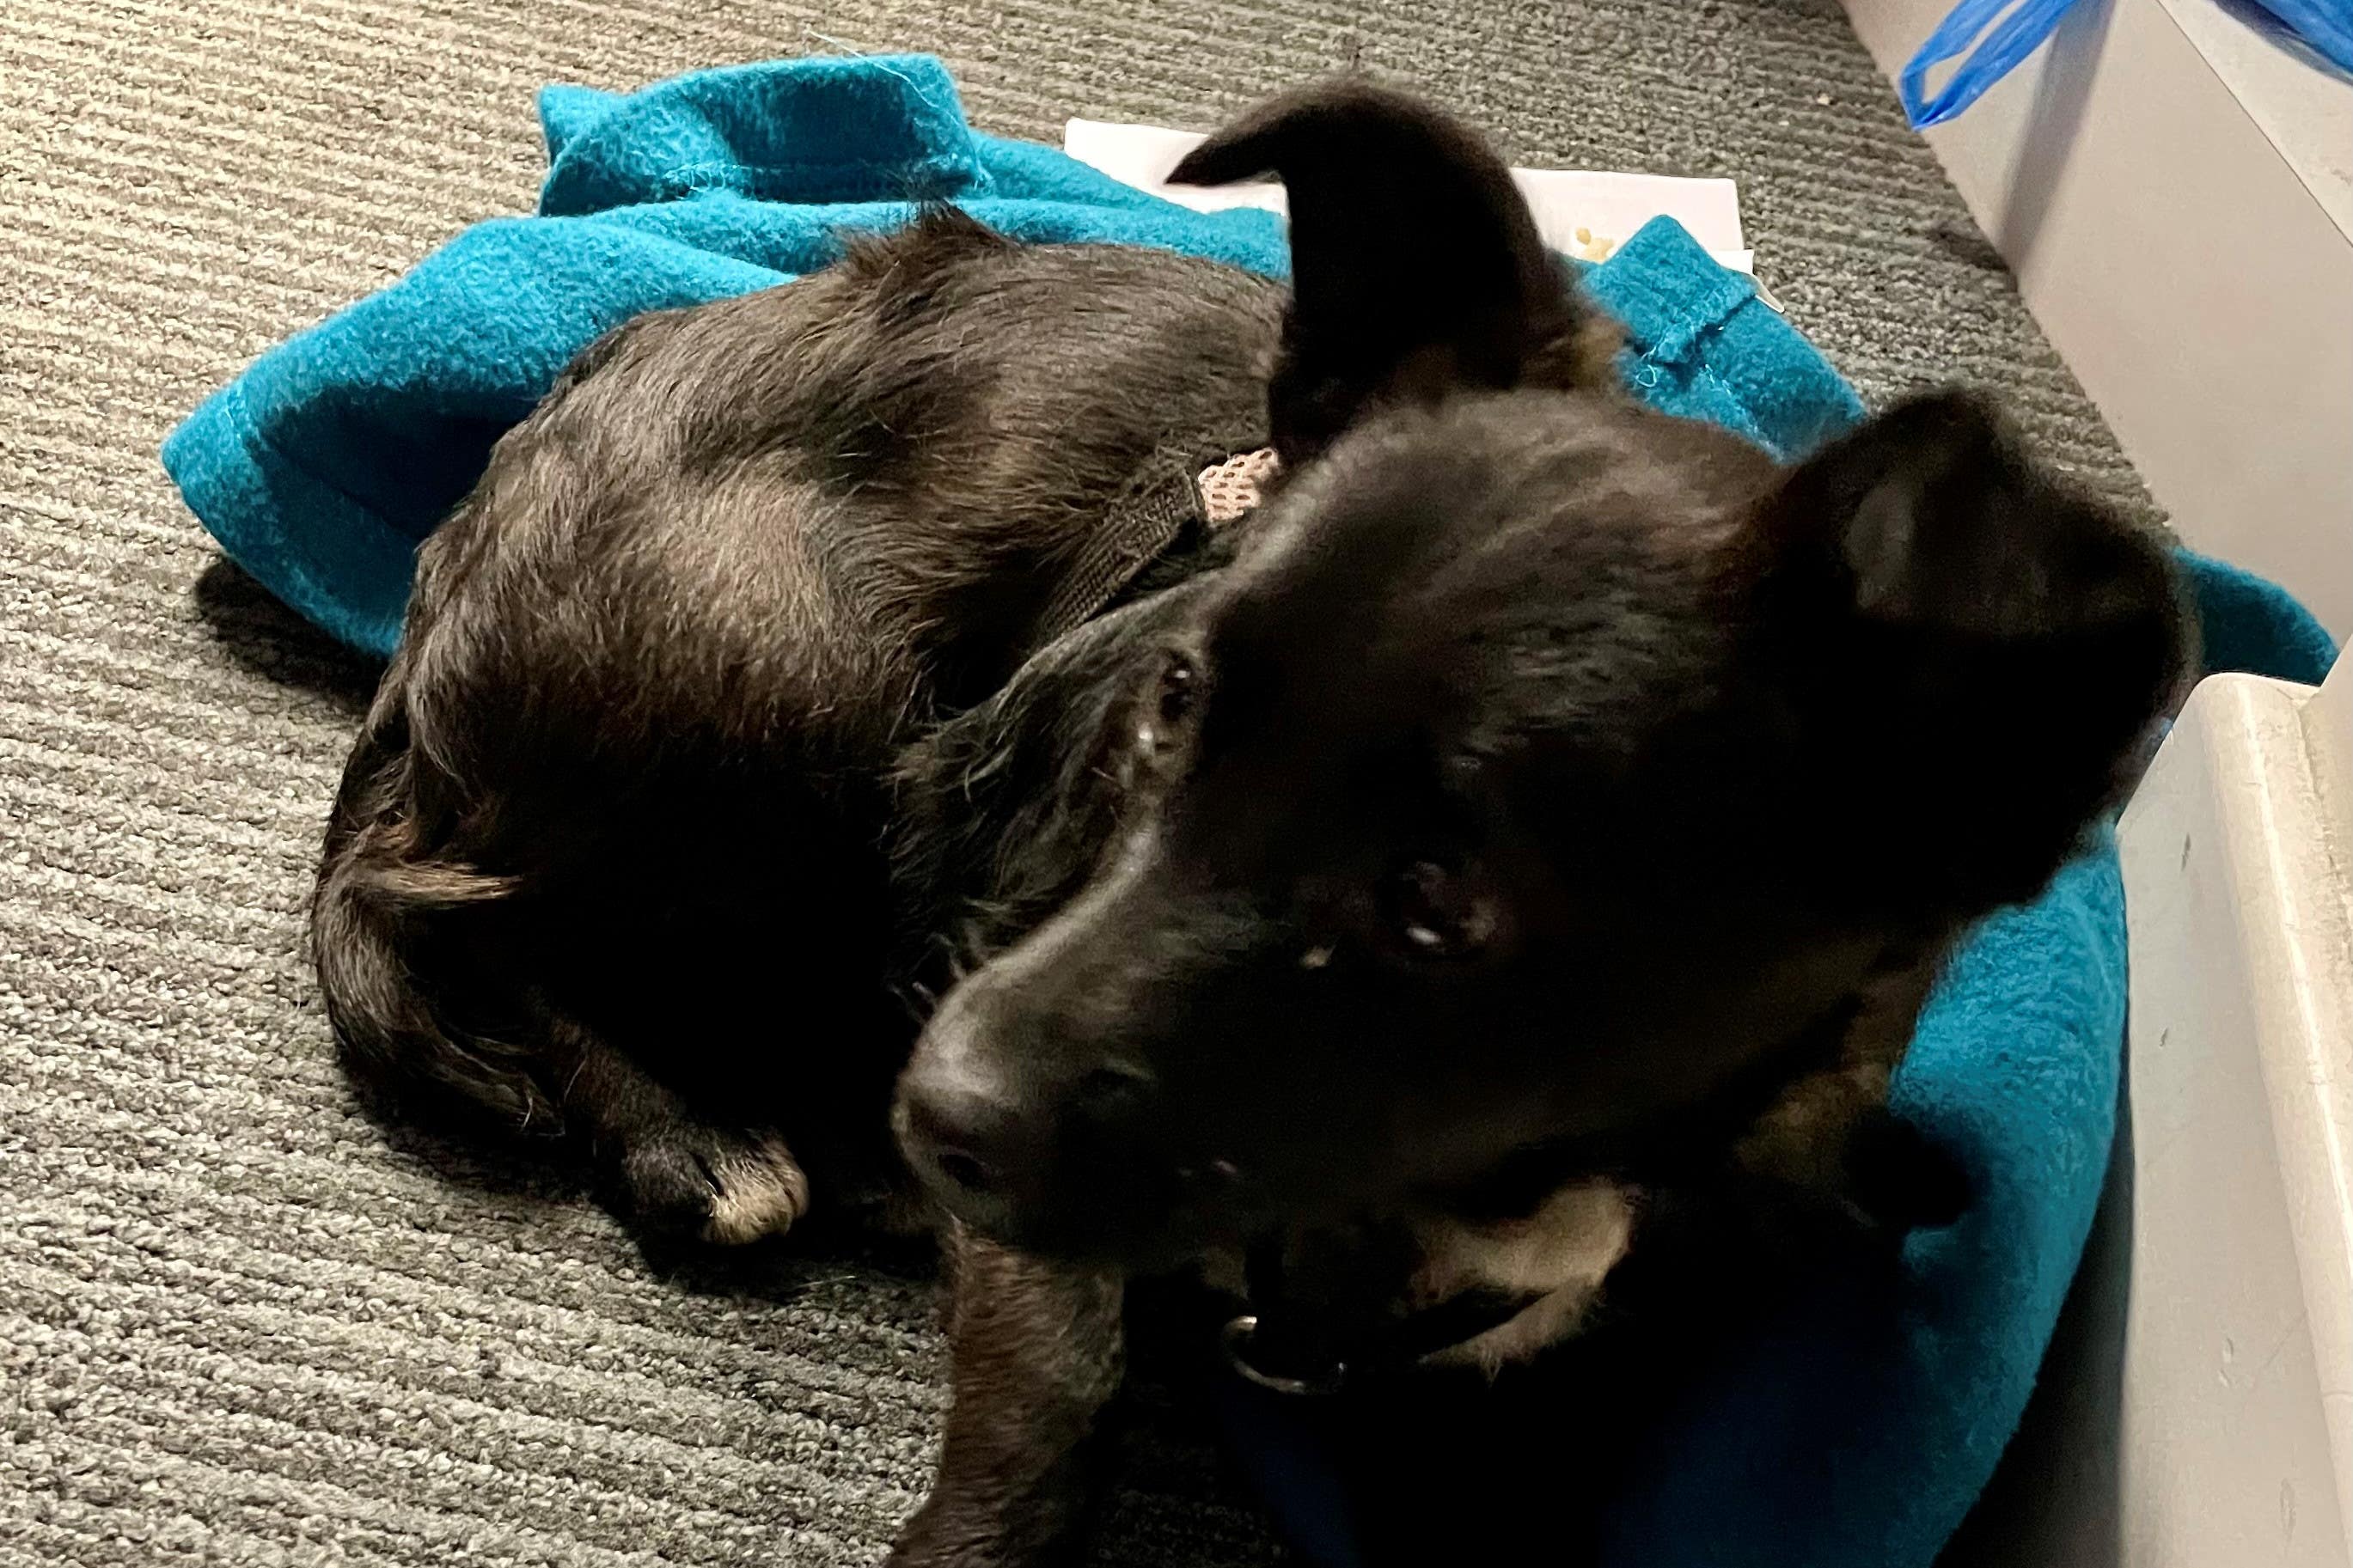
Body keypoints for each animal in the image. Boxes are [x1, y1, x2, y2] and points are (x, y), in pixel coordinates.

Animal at [313, 85, 2183, 1568]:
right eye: (1174, 702)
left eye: (1440, 898)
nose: (936, 1105)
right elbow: (1051, 1407)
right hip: (782, 701)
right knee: (445, 905)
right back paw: (698, 1136)